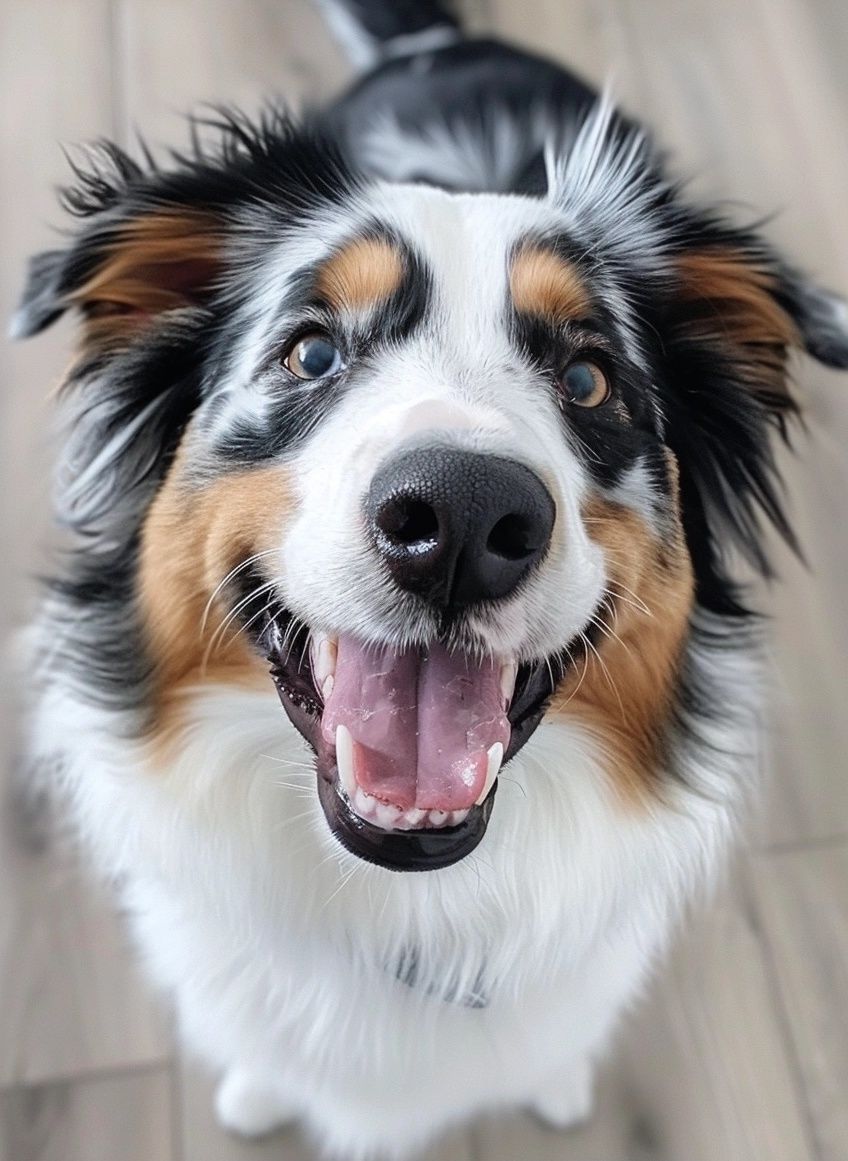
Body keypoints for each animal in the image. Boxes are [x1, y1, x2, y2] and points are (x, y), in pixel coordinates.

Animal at [11, 2, 845, 1161]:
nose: (460, 518)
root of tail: (439, 42)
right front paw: (258, 1090)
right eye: (309, 353)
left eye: (589, 378)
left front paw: (556, 1082)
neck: (403, 897)